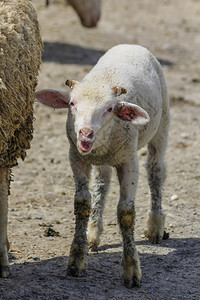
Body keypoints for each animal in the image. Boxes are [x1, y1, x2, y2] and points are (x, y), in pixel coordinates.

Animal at [35, 44, 170, 286]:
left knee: (155, 172)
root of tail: (131, 45)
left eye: (109, 109)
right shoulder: (76, 157)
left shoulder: (129, 161)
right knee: (102, 183)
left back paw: (155, 226)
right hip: (102, 160)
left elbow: (126, 213)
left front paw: (131, 270)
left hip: (161, 126)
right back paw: (93, 232)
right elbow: (81, 203)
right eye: (72, 104)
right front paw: (76, 260)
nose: (85, 134)